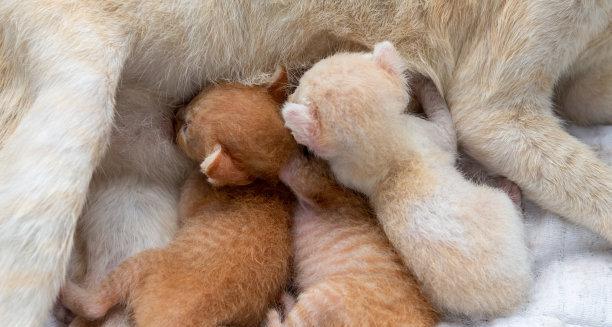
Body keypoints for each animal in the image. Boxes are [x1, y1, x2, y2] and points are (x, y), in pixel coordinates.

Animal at [60, 70, 296, 326]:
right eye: (200, 94)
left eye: (185, 130)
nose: (175, 113)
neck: (267, 185)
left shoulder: (192, 193)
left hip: (145, 262)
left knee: (95, 305)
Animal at [266, 154, 436, 327]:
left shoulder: (330, 194)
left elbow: (303, 178)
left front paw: (287, 164)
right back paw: (287, 299)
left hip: (324, 296)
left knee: (287, 324)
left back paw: (274, 311)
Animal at [282, 42, 532, 320]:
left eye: (306, 79)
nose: (291, 89)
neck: (385, 151)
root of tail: (510, 301)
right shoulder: (431, 135)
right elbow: (446, 124)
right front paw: (427, 84)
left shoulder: (347, 172)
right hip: (500, 210)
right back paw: (512, 191)